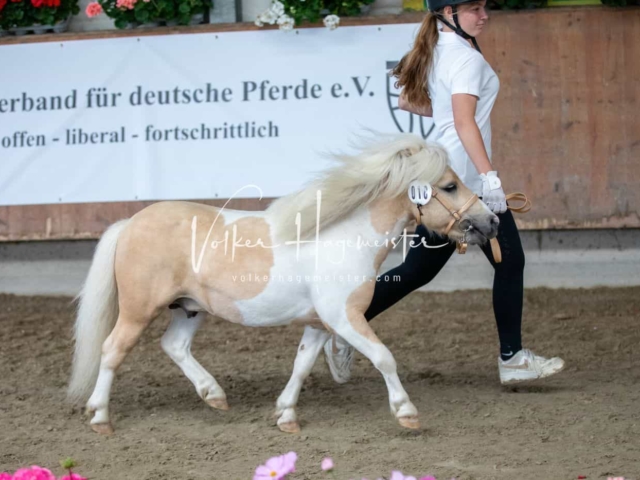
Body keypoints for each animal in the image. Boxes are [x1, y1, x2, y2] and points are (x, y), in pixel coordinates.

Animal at [69, 132, 500, 436]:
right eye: (449, 186)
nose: (492, 222)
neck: (347, 237)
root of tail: (130, 223)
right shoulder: (344, 317)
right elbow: (383, 357)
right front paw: (406, 412)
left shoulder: (320, 322)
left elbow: (302, 364)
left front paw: (286, 415)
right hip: (138, 310)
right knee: (112, 350)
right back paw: (100, 417)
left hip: (190, 308)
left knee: (173, 345)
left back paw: (214, 395)